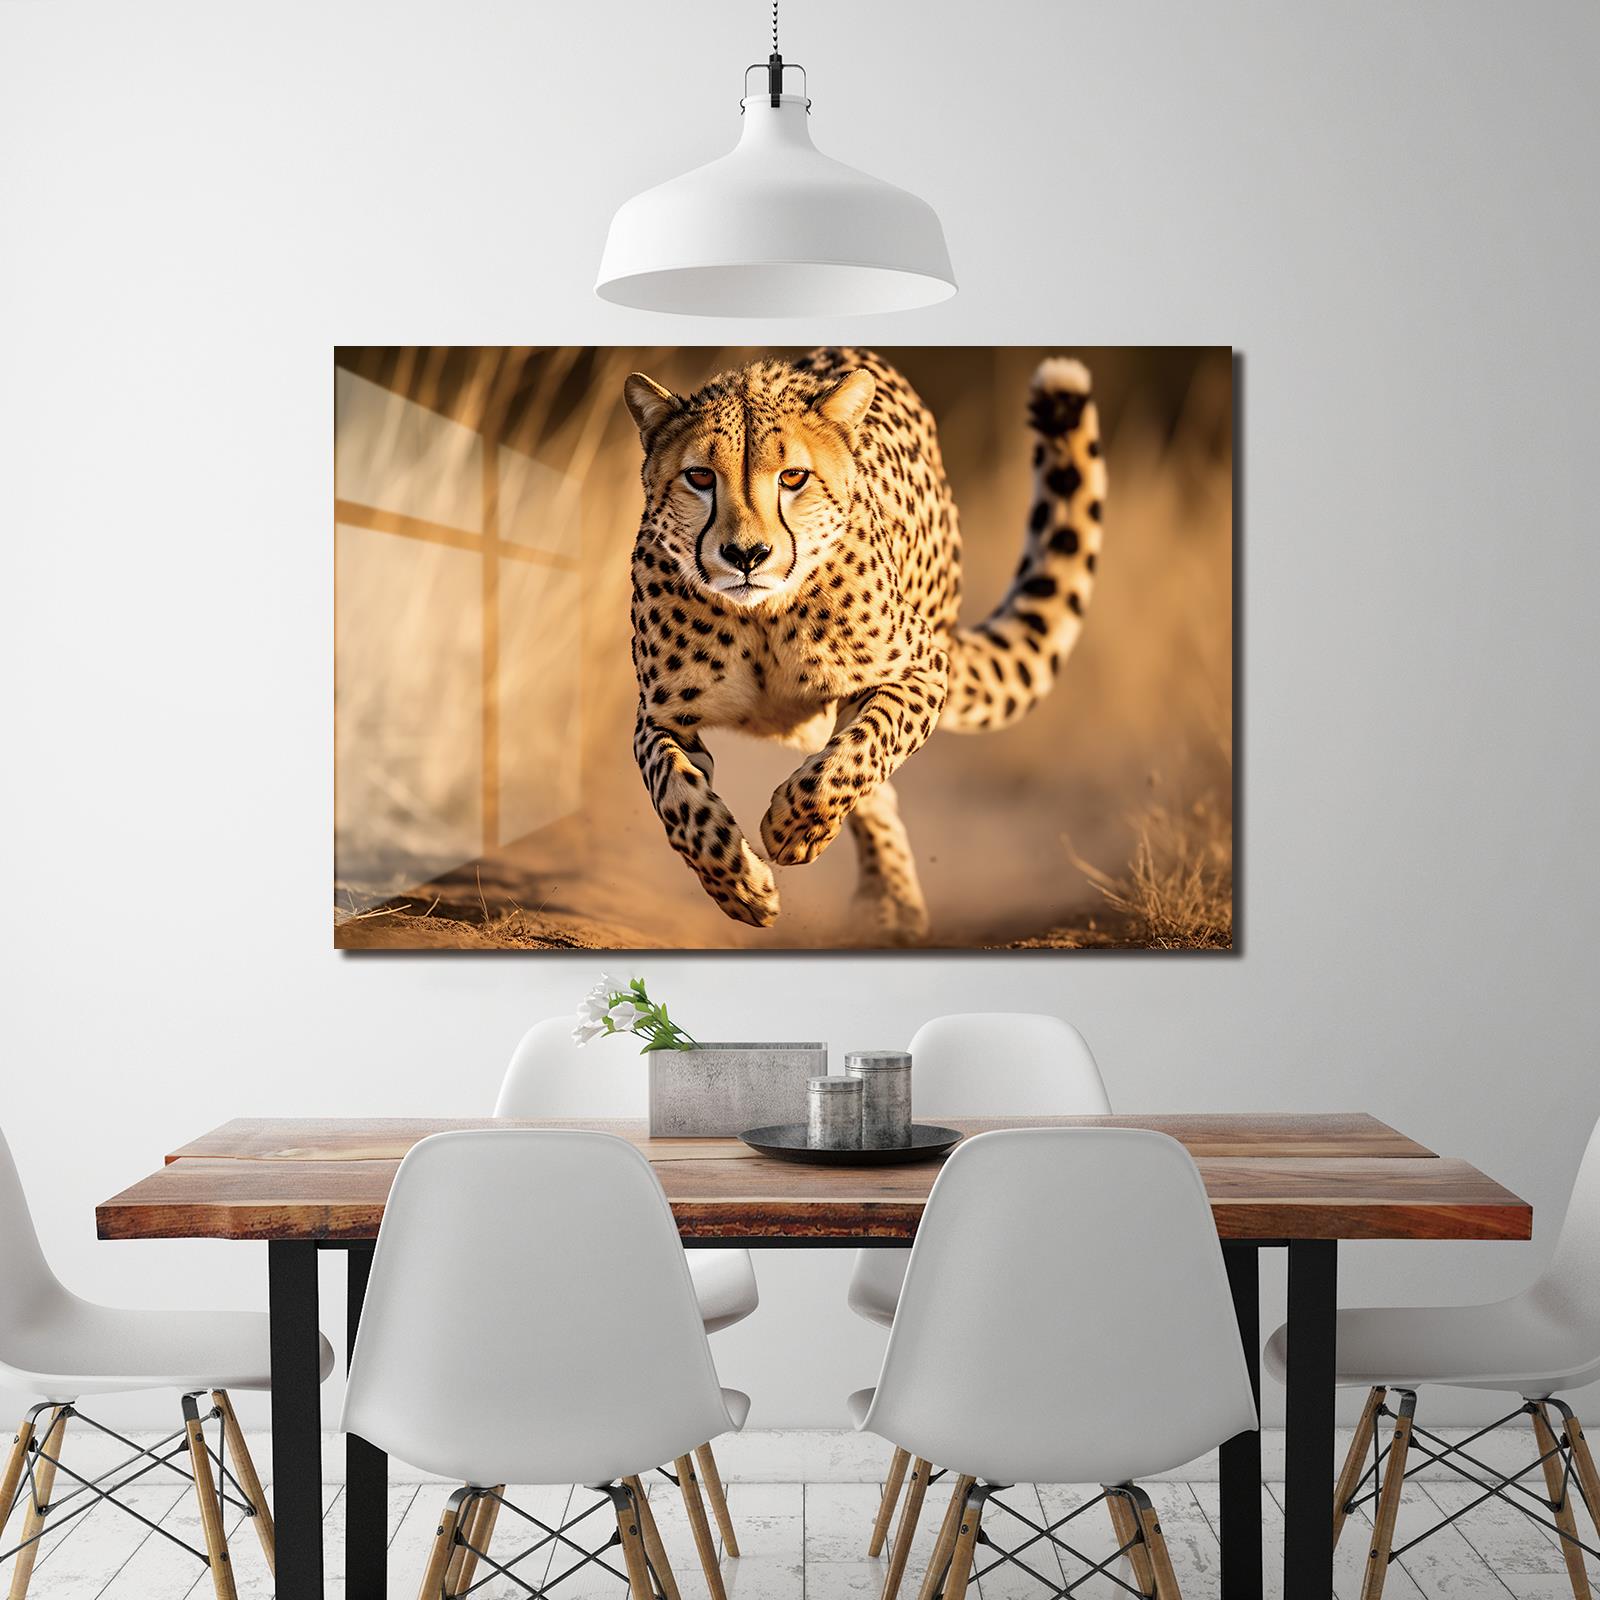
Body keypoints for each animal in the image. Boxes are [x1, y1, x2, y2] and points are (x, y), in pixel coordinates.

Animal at [624, 346, 1106, 943]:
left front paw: (792, 828)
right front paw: (740, 886)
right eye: (699, 477)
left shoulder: (923, 669)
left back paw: (888, 901)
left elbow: (861, 752)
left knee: (867, 767)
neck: (762, 619)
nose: (746, 555)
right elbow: (677, 797)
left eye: (793, 477)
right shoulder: (660, 716)